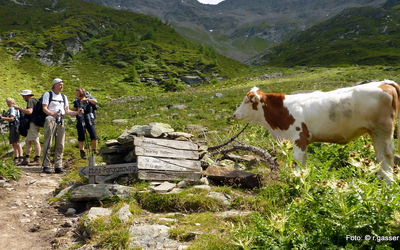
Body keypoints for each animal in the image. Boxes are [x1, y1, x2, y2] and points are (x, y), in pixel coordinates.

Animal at [231, 79, 400, 185]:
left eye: (246, 101)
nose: (234, 114)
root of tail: (384, 83)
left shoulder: (300, 138)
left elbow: (298, 161)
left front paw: (298, 180)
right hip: (373, 132)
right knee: (380, 155)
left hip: (383, 130)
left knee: (387, 155)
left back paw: (388, 183)